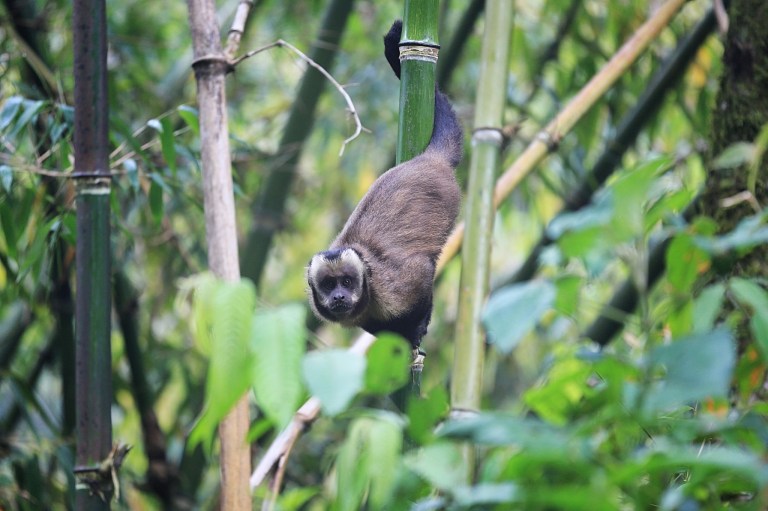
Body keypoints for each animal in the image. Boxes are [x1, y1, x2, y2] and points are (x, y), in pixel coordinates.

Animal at [306, 20, 463, 350]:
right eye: (328, 284)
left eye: (347, 282)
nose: (339, 296)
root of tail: (430, 158)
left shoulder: (392, 287)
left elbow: (423, 271)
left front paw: (416, 331)